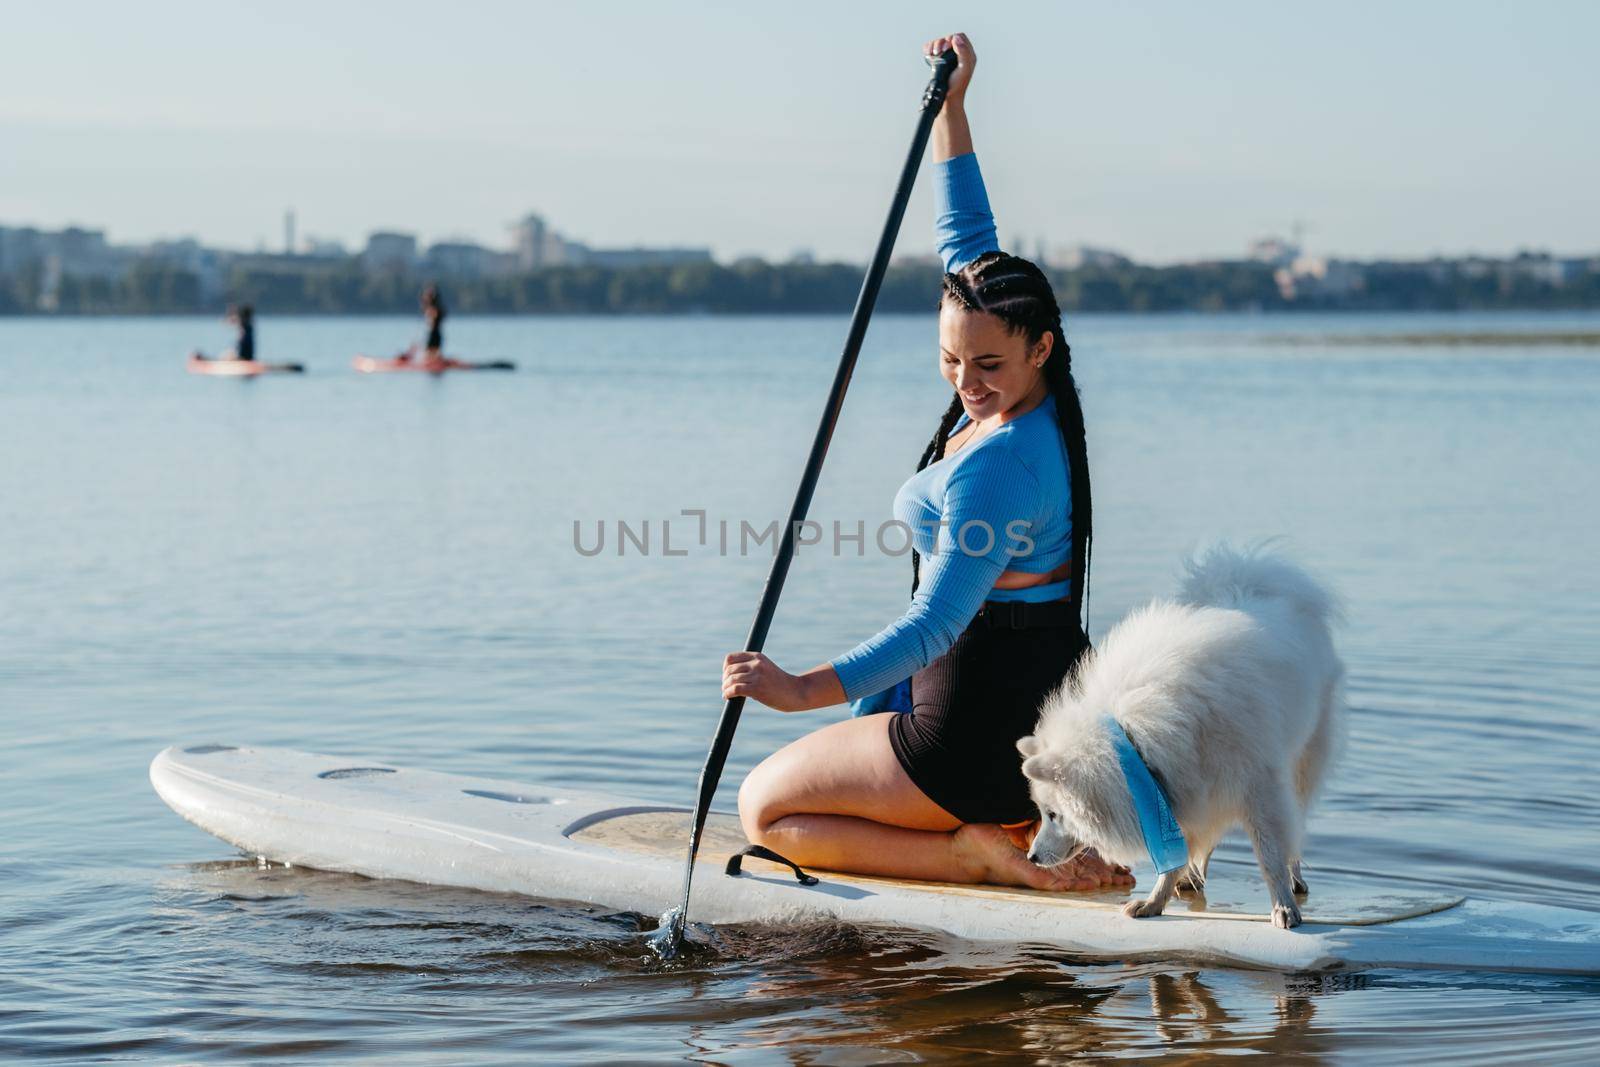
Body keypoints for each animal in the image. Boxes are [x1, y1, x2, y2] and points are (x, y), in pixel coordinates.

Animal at [1017, 547, 1344, 927]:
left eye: (1053, 814)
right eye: (1043, 813)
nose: (1032, 857)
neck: (1139, 736)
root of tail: (1253, 585)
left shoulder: (1260, 788)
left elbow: (1270, 854)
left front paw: (1284, 906)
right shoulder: (1179, 789)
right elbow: (1175, 854)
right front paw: (1154, 901)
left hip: (1302, 765)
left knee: (1296, 827)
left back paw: (1294, 880)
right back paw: (1191, 879)